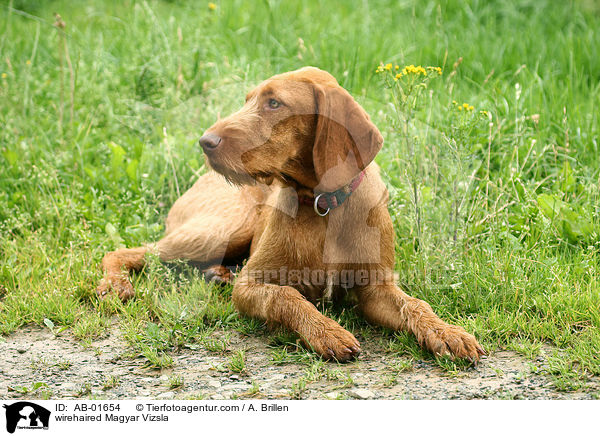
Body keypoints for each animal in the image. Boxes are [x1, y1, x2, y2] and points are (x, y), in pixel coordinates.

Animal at [98, 67, 482, 362]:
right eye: (249, 100)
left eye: (274, 103)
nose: (205, 142)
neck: (323, 204)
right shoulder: (250, 285)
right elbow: (286, 296)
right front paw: (327, 332)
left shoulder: (377, 287)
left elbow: (416, 305)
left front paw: (447, 332)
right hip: (220, 229)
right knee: (126, 252)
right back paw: (115, 284)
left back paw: (217, 274)